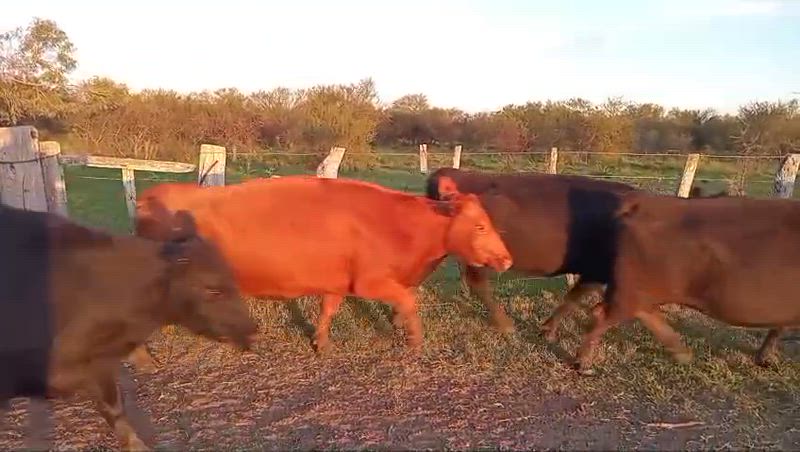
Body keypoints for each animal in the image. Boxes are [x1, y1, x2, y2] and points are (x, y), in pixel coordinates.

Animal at [127, 175, 512, 369]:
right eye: (480, 226)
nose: (507, 259)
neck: (399, 225)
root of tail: (149, 197)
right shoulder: (370, 282)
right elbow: (408, 302)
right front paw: (415, 343)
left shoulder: (338, 283)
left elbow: (329, 310)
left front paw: (321, 343)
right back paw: (143, 360)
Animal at [573, 191, 800, 374]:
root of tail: (643, 202)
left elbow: (778, 328)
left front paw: (765, 359)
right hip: (633, 290)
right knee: (604, 314)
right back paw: (582, 364)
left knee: (635, 312)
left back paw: (683, 354)